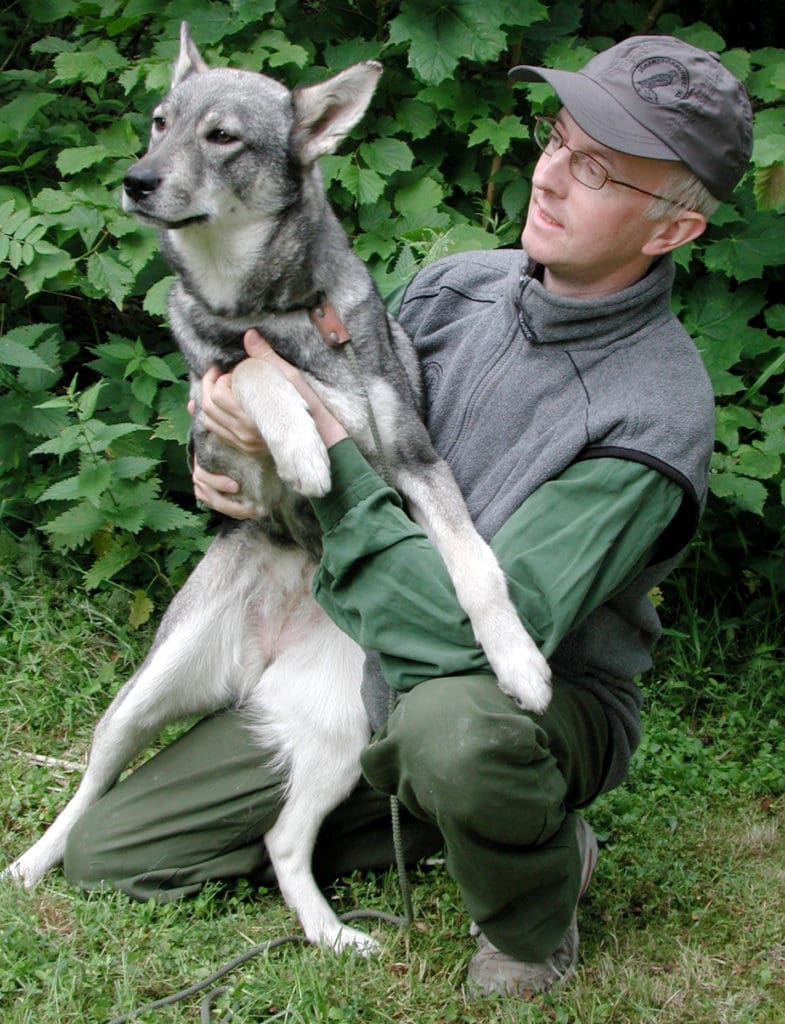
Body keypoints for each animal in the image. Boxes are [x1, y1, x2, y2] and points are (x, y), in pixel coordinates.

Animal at [4, 22, 552, 950]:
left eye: (222, 136)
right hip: (141, 699)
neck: (274, 309)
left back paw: (336, 937)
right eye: (158, 123)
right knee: (88, 795)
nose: (137, 181)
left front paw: (519, 665)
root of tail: (257, 662)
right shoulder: (223, 434)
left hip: (341, 730)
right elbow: (257, 378)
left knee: (284, 842)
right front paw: (302, 447)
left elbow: (476, 569)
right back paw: (31, 864)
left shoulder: (412, 458)